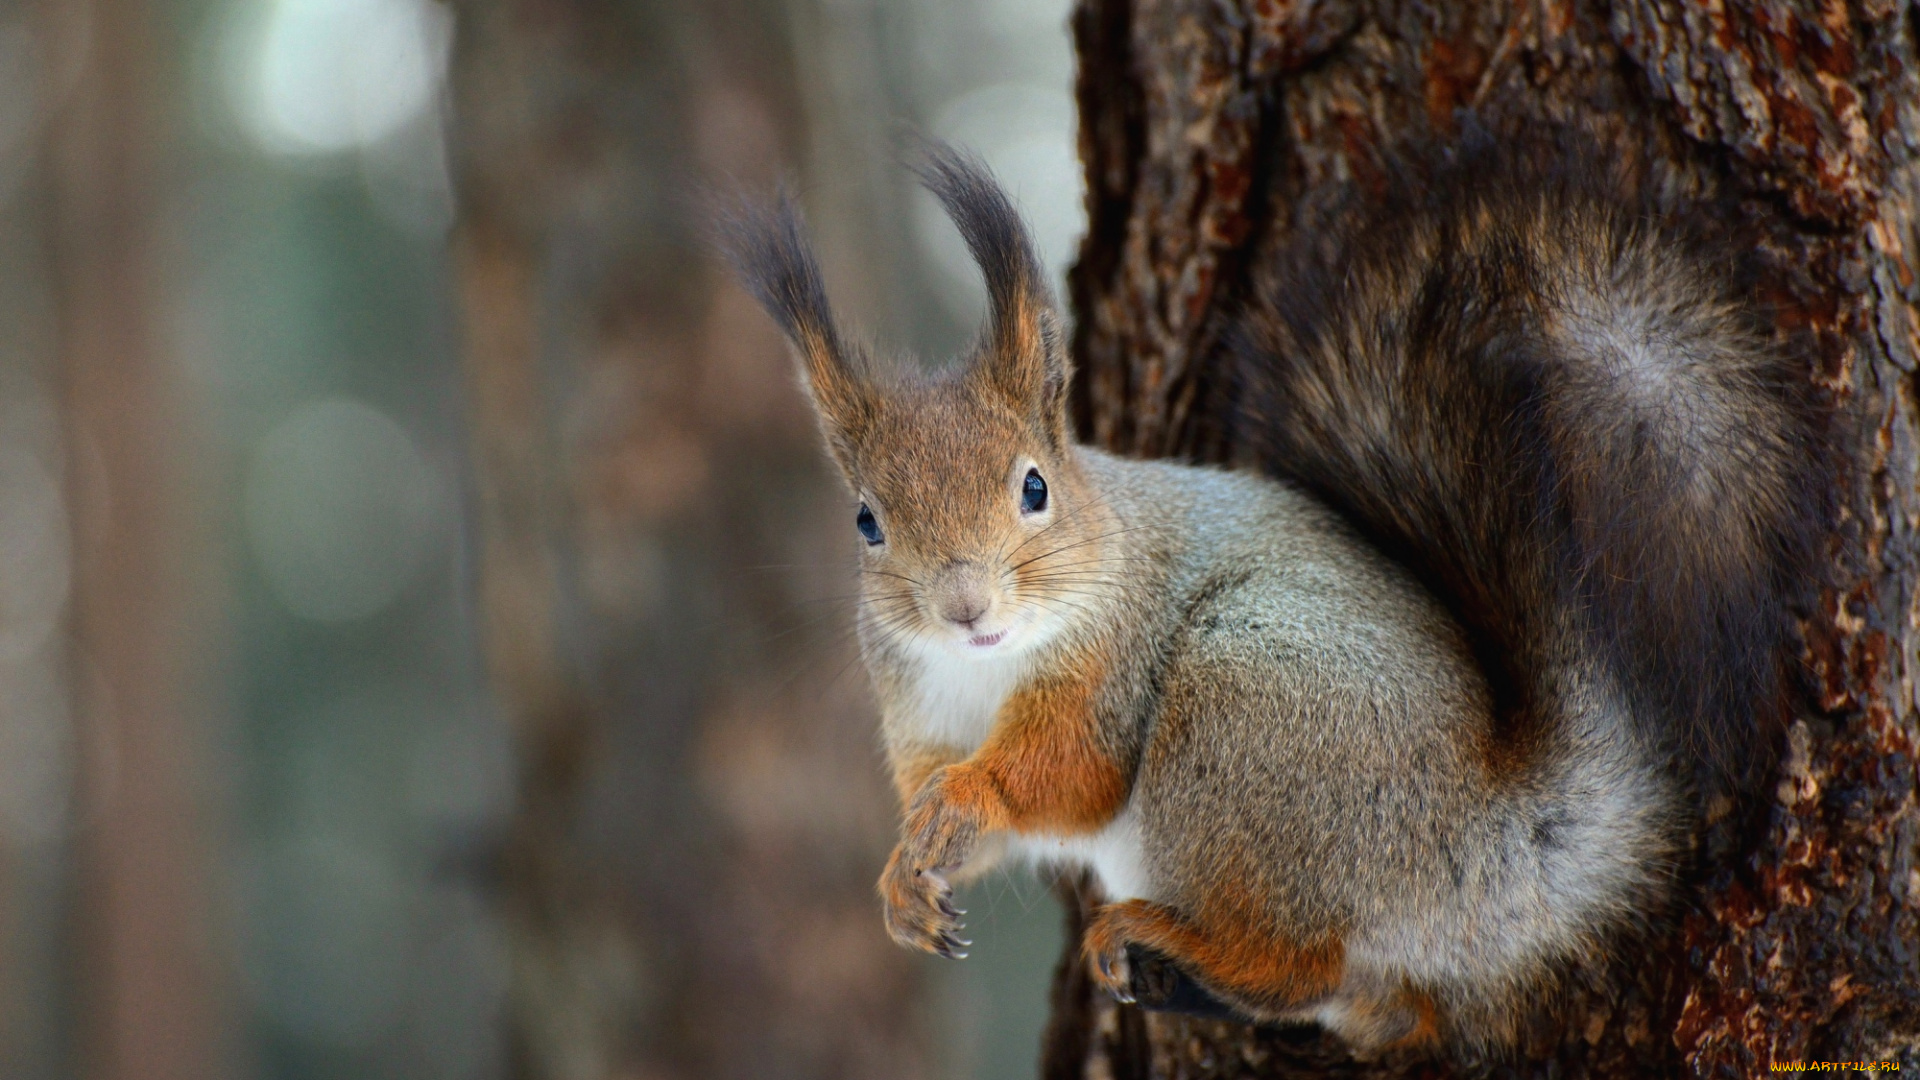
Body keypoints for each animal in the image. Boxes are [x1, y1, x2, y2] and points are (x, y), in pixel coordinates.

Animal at [718, 134, 1812, 1053]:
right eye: (867, 521)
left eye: (1034, 487)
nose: (966, 608)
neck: (984, 673)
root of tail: (1492, 835)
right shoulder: (914, 710)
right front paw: (904, 880)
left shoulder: (1111, 667)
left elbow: (1070, 773)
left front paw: (971, 797)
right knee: (1384, 1009)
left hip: (1240, 705)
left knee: (1303, 961)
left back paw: (1168, 940)